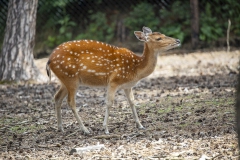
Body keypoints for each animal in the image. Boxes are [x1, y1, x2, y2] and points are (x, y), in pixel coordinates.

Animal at [46, 26, 180, 134]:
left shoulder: (127, 85)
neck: (135, 69)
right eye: (158, 38)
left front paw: (140, 125)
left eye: (163, 34)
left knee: (57, 97)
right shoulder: (114, 81)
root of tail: (49, 60)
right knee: (70, 102)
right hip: (71, 77)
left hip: (65, 80)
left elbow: (132, 102)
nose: (178, 40)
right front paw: (105, 128)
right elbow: (109, 103)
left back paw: (60, 128)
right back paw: (85, 129)